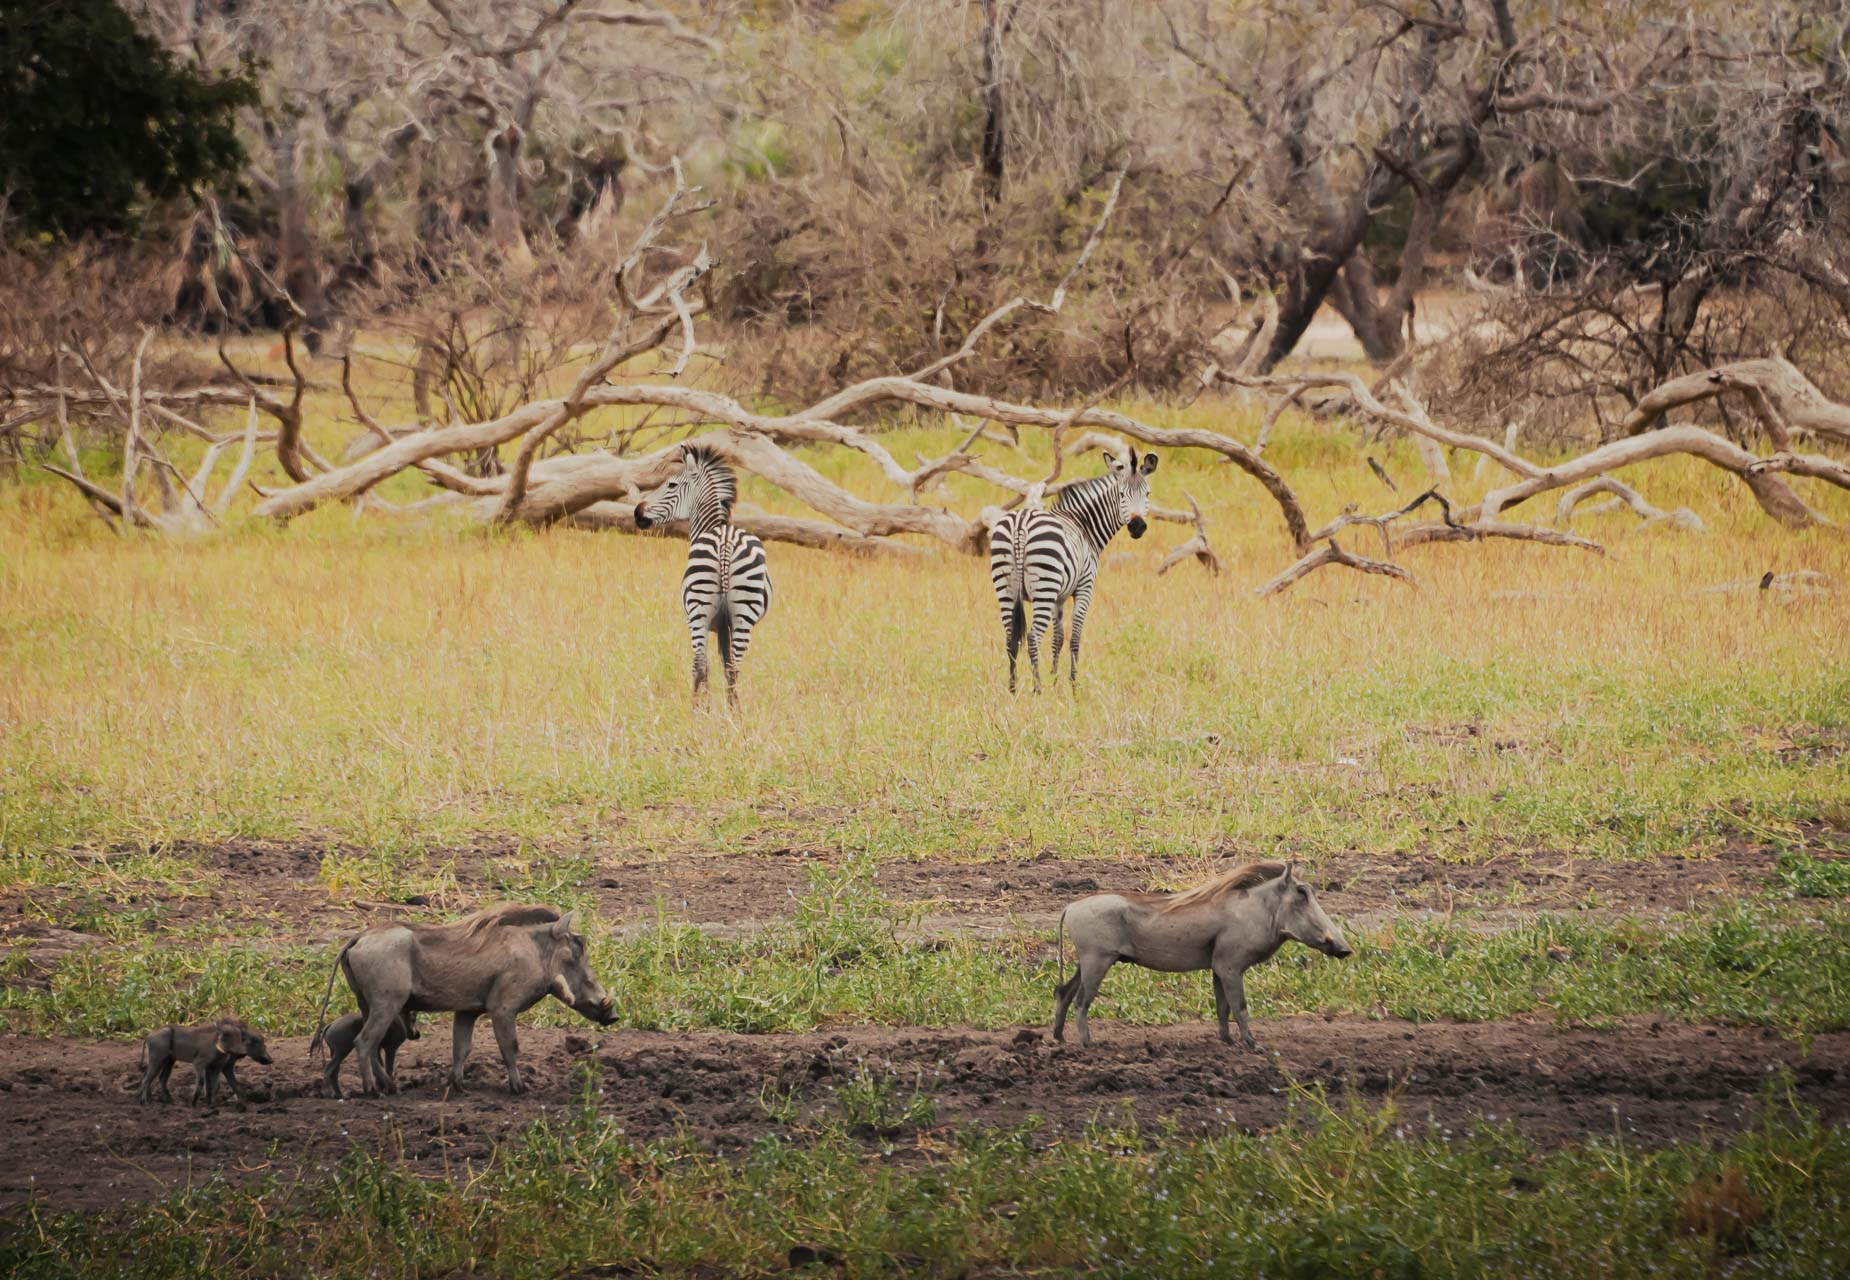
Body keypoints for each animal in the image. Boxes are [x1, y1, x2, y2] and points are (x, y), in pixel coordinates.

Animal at [632, 445, 769, 710]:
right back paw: (735, 713)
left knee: (699, 663)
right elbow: (725, 664)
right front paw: (725, 708)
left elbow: (704, 665)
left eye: (671, 485)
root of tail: (725, 541)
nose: (637, 513)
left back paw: (696, 711)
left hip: (698, 611)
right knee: (734, 667)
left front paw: (704, 707)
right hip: (744, 613)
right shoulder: (725, 626)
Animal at [984, 447, 1154, 691]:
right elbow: (1074, 636)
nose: (1137, 526)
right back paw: (1037, 690)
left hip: (1005, 585)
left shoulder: (1060, 596)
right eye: (1122, 495)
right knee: (1033, 636)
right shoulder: (1084, 587)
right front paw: (1073, 686)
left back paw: (1013, 689)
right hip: (1044, 587)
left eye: (1147, 494)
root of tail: (1021, 524)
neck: (1084, 525)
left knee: (1010, 637)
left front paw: (1055, 681)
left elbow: (1058, 637)